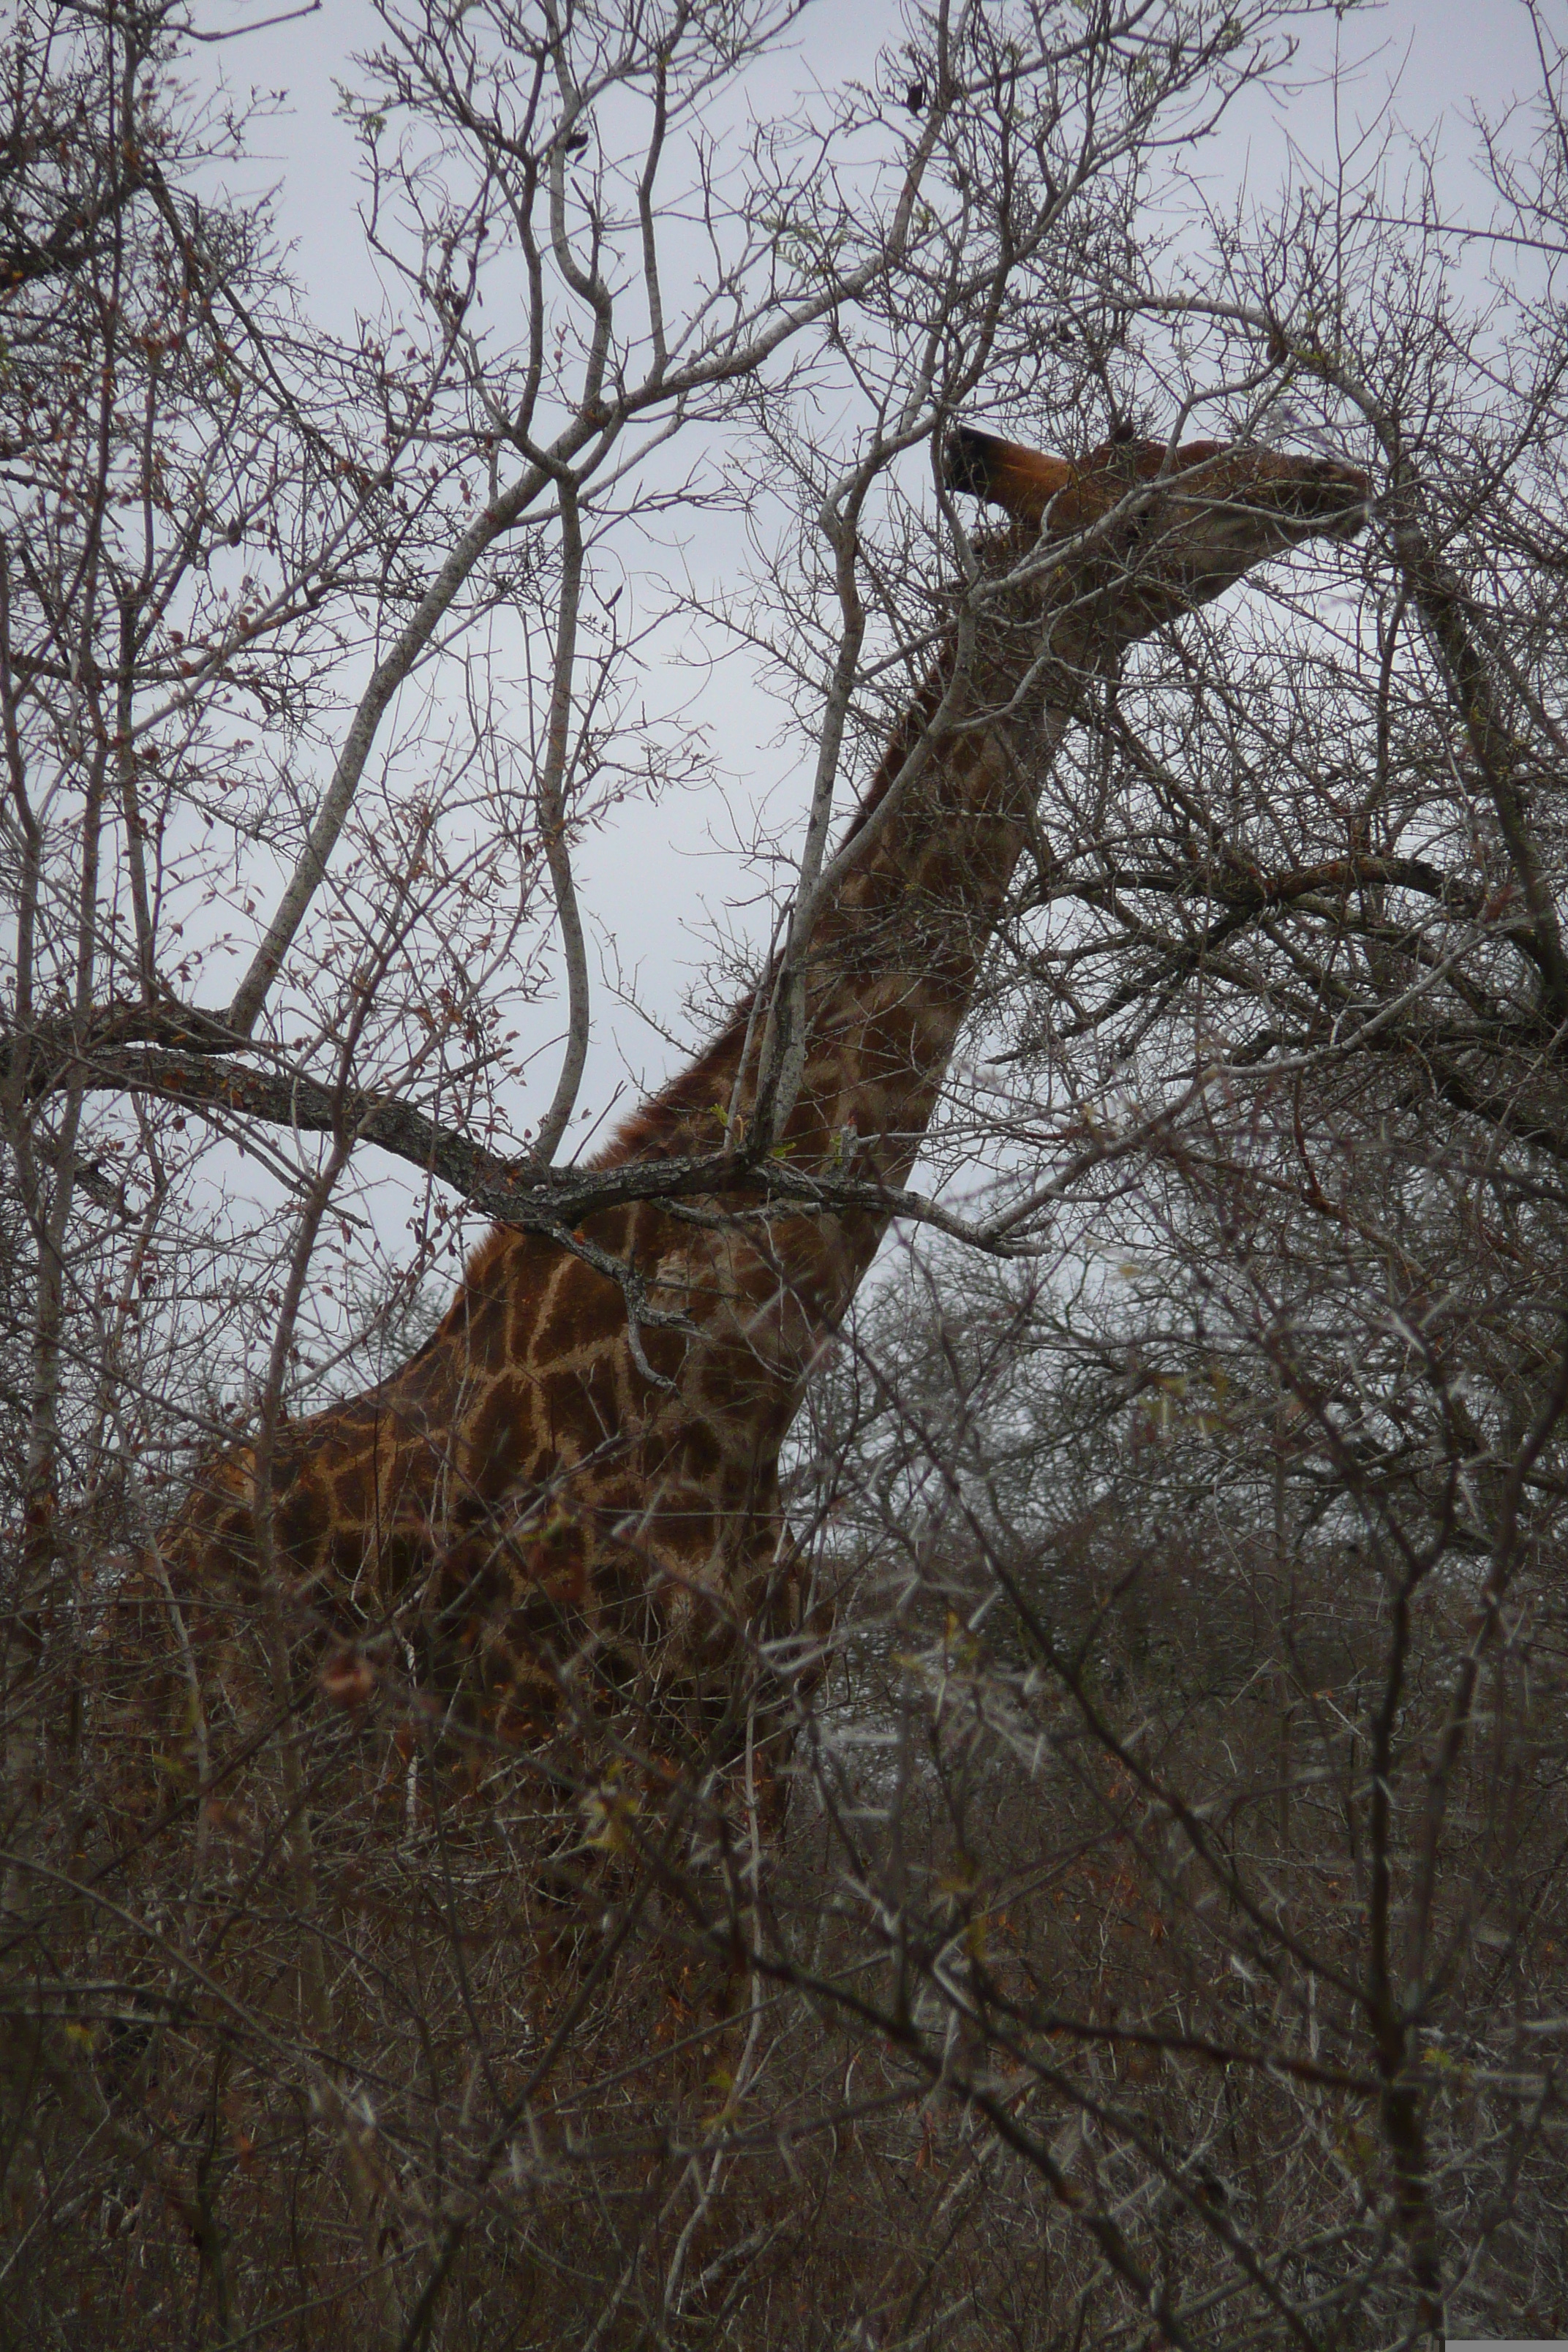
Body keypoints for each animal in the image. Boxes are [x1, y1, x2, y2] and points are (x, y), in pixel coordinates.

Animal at [128, 423, 1363, 1778]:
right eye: (1137, 503)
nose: (1324, 481)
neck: (730, 1389)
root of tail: (150, 1548)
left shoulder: (752, 1744)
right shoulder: (548, 1737)